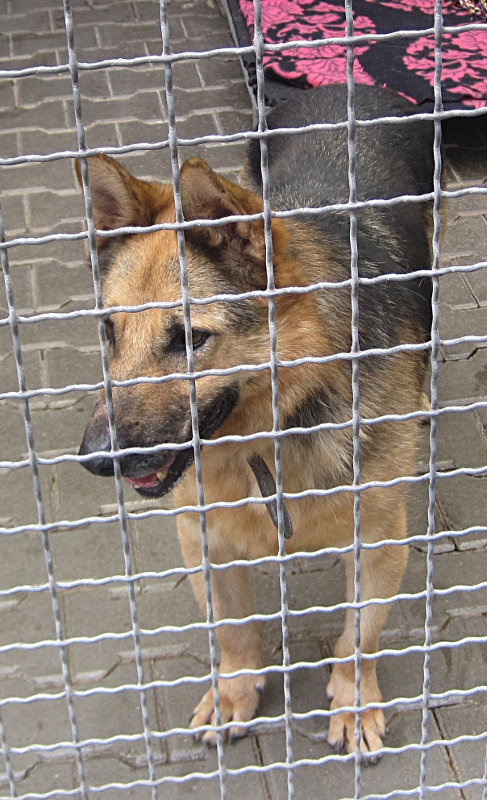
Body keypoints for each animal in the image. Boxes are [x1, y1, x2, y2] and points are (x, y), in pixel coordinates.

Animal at [77, 86, 434, 756]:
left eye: (190, 338)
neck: (266, 436)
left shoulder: (378, 540)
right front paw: (235, 693)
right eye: (110, 331)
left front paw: (354, 702)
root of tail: (344, 83)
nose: (95, 459)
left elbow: (360, 636)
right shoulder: (203, 539)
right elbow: (234, 632)